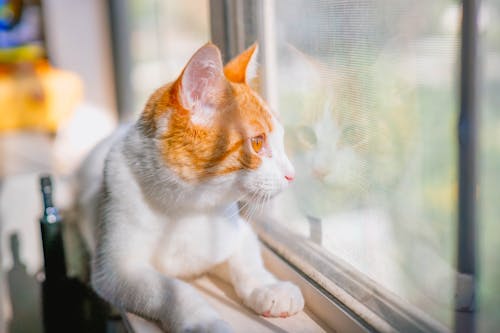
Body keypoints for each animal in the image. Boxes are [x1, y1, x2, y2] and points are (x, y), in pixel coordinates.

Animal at [77, 42, 304, 330]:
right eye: (257, 142)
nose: (292, 175)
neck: (187, 208)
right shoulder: (115, 271)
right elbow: (173, 291)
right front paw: (204, 322)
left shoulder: (237, 232)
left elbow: (248, 261)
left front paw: (268, 288)